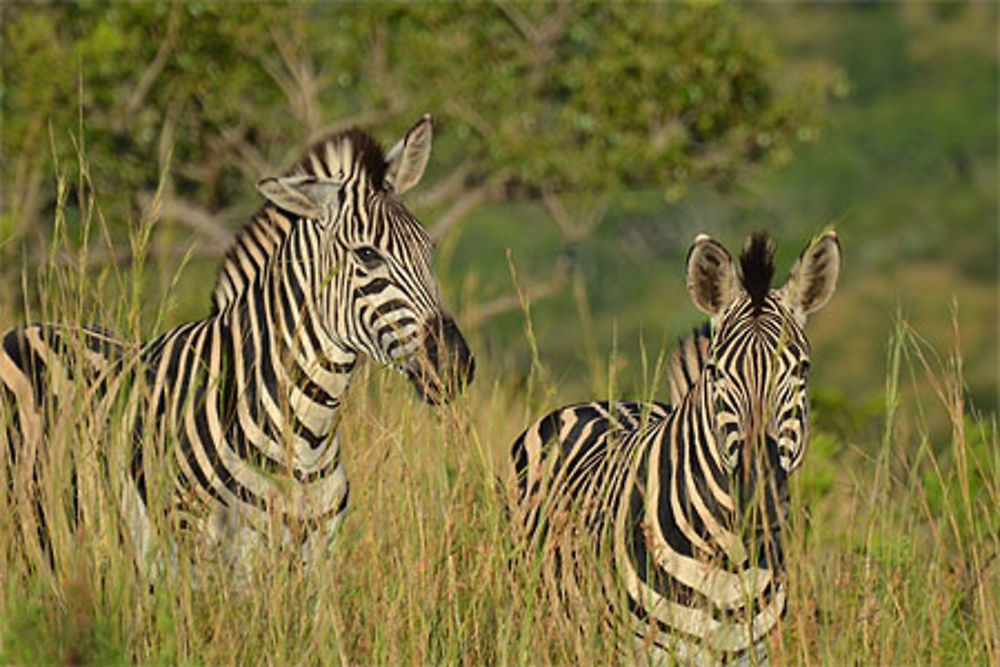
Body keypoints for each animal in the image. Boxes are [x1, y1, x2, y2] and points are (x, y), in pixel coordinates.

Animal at [0, 115, 476, 576]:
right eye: (367, 255)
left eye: (429, 248)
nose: (455, 364)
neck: (305, 437)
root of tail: (28, 328)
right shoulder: (211, 558)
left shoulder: (317, 557)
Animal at [508, 232, 844, 664]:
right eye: (716, 372)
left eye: (801, 369)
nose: (760, 498)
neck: (730, 564)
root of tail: (604, 402)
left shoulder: (753, 655)